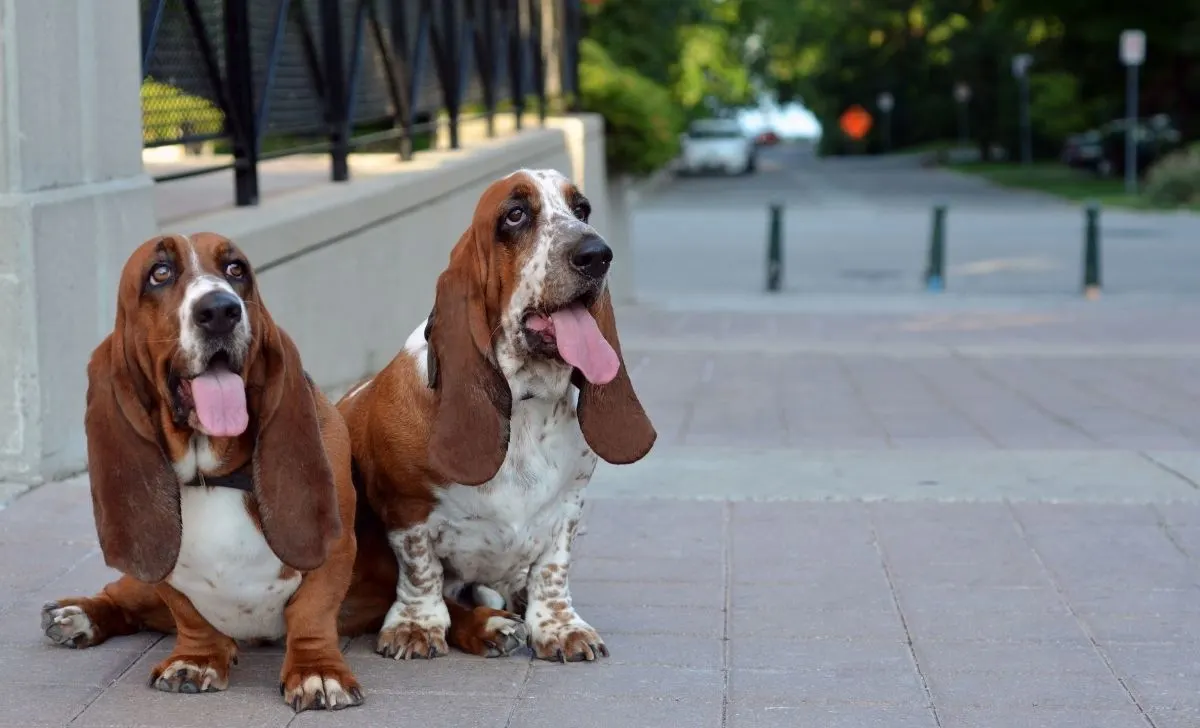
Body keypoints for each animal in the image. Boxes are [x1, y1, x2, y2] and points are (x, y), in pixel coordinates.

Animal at [333, 167, 657, 662]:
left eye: (582, 209)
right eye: (515, 215)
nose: (597, 254)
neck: (524, 402)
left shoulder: (567, 508)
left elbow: (552, 572)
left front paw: (560, 628)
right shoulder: (406, 512)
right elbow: (421, 572)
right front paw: (415, 627)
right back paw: (489, 625)